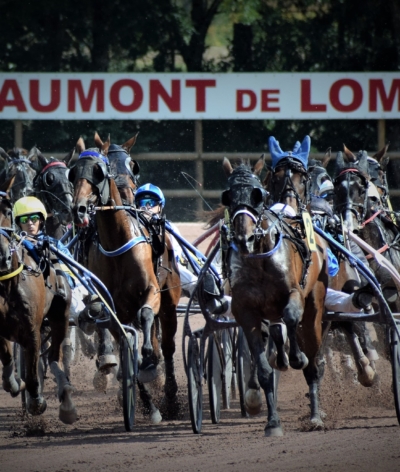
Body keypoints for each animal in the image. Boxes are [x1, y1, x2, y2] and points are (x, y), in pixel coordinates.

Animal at [0, 175, 76, 422]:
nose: (3, 257)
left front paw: (36, 401)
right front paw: (15, 382)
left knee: (53, 356)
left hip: (61, 315)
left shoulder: (31, 329)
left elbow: (33, 374)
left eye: (7, 211)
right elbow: (8, 363)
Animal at [69, 136, 181, 420]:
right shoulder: (112, 310)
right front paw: (148, 404)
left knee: (167, 345)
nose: (79, 208)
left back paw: (171, 396)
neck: (118, 239)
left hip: (170, 302)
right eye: (73, 171)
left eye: (98, 171)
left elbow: (147, 318)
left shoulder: (152, 291)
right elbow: (124, 344)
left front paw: (150, 362)